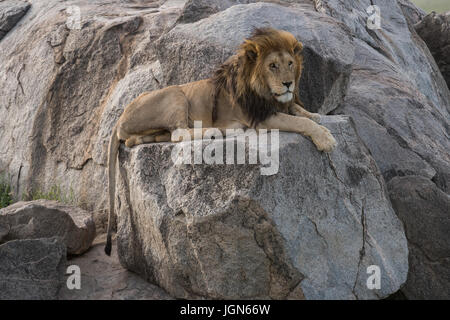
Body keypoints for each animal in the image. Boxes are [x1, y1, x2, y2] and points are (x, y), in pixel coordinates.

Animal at [105, 26, 336, 255]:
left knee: (142, 139)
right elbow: (298, 122)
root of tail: (121, 116)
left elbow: (298, 111)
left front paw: (316, 115)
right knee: (178, 133)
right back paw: (218, 131)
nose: (289, 84)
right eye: (272, 66)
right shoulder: (260, 118)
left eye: (290, 63)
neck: (266, 93)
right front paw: (325, 138)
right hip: (175, 93)